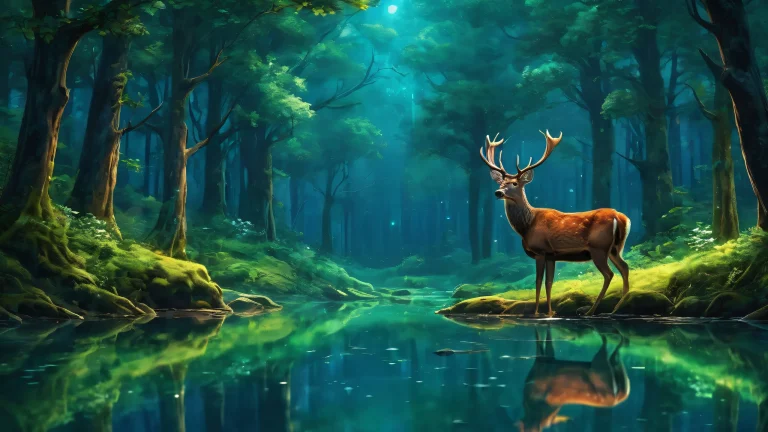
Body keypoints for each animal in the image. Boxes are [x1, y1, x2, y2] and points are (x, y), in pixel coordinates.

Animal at [479, 130, 631, 316]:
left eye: (514, 183)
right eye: (501, 182)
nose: (498, 192)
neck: (527, 225)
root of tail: (620, 217)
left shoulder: (541, 250)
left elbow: (538, 282)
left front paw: (536, 313)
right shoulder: (552, 255)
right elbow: (549, 282)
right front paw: (550, 313)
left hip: (599, 248)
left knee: (609, 274)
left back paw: (591, 311)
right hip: (616, 248)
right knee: (625, 267)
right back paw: (617, 308)